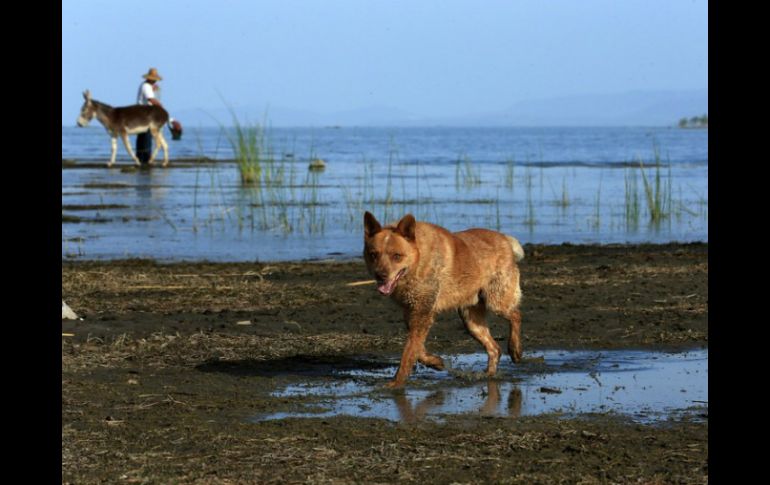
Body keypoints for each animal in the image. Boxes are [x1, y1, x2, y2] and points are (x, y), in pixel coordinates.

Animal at [364, 210, 520, 388]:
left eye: (397, 256)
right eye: (373, 255)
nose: (380, 276)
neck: (418, 260)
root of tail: (505, 239)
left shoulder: (423, 313)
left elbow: (408, 352)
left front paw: (396, 383)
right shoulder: (412, 313)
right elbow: (417, 348)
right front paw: (436, 362)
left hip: (496, 301)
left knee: (516, 315)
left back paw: (515, 350)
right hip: (471, 320)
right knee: (494, 348)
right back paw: (489, 375)